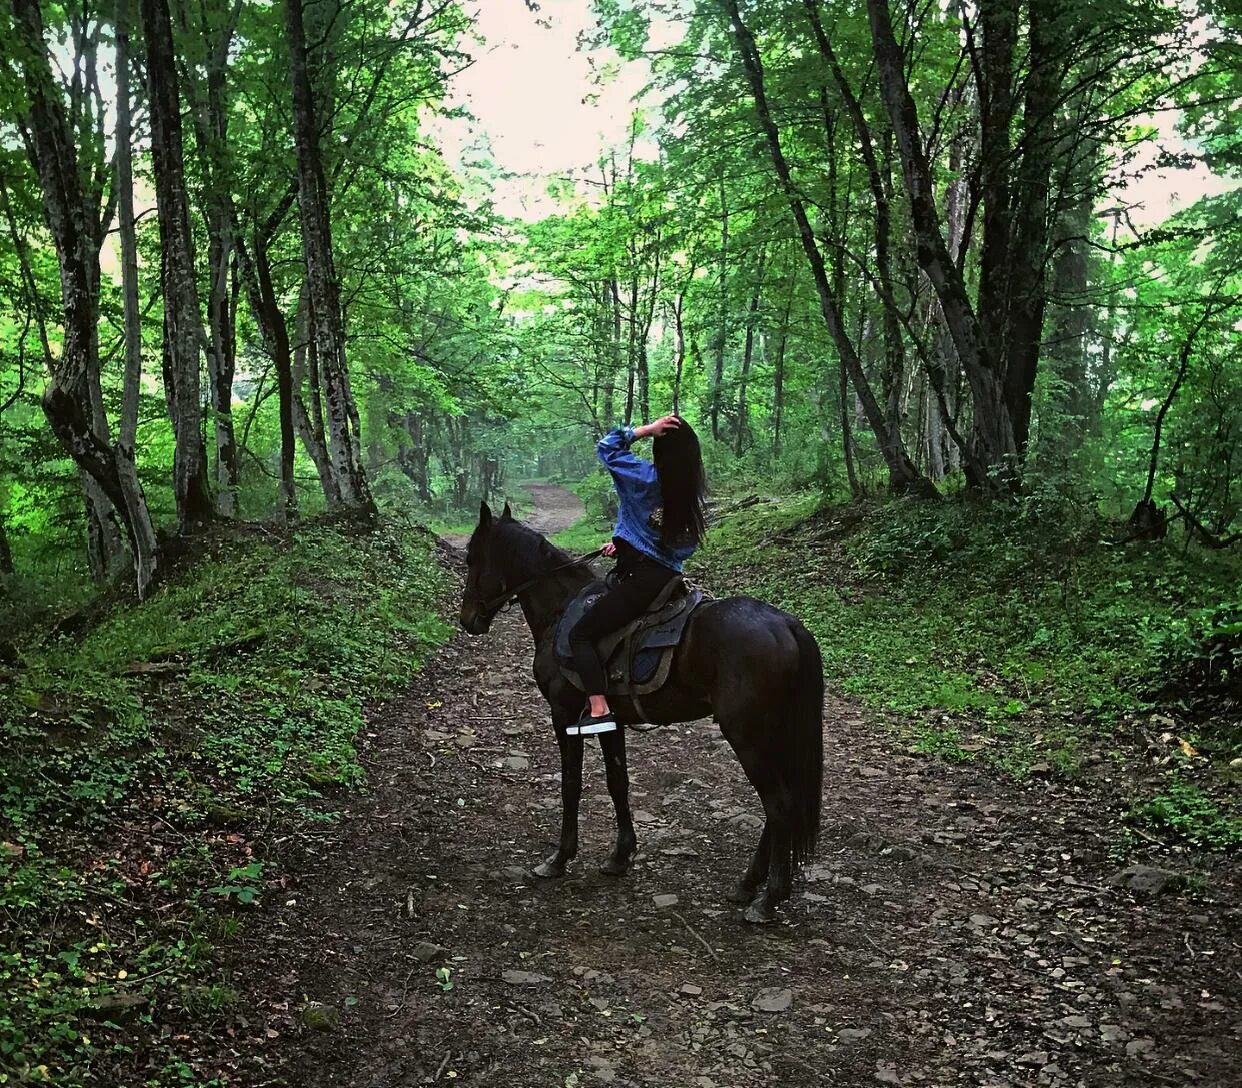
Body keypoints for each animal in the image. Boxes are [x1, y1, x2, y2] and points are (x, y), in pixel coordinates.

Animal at [459, 501, 824, 919]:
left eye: (472, 557)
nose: (467, 620)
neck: (560, 610)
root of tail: (788, 625)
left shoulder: (564, 714)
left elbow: (571, 784)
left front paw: (559, 858)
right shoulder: (608, 721)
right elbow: (618, 782)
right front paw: (621, 855)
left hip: (748, 735)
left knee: (779, 806)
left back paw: (769, 898)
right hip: (772, 734)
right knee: (780, 805)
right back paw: (748, 885)